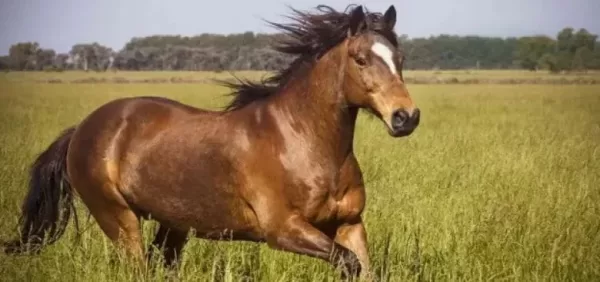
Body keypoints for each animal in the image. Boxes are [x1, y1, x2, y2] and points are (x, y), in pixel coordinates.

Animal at [2, 3, 420, 280]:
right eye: (360, 58)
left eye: (399, 58)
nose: (406, 117)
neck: (304, 144)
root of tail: (82, 129)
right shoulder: (284, 230)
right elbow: (347, 262)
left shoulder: (349, 223)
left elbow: (361, 267)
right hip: (118, 218)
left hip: (173, 225)